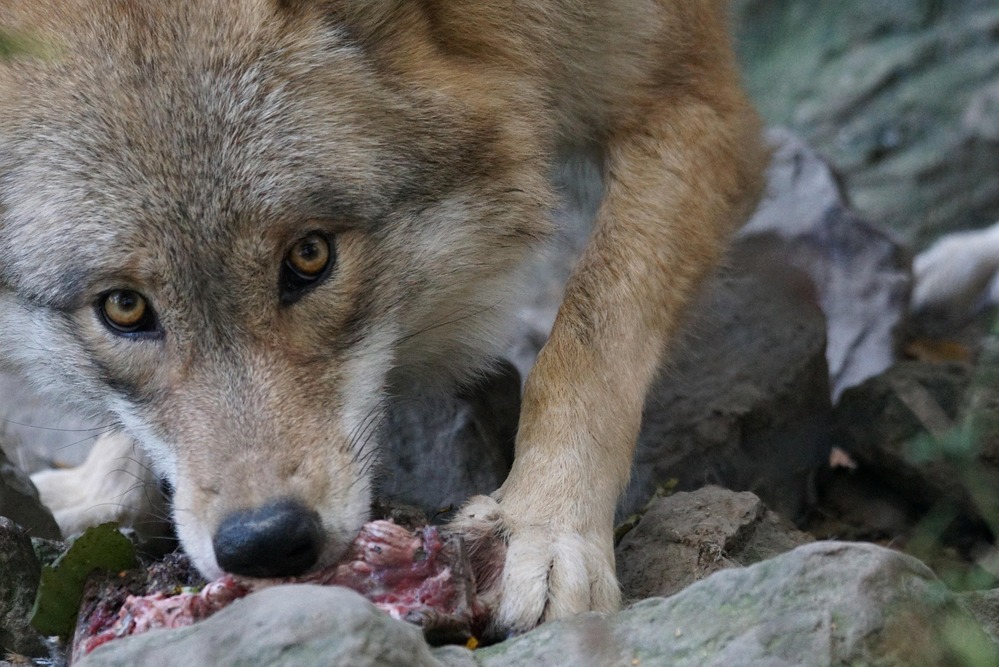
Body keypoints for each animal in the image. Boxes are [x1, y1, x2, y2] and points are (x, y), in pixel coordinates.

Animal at [0, 0, 764, 634]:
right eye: (123, 306)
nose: (267, 540)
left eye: (309, 255)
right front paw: (96, 488)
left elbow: (589, 336)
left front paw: (543, 527)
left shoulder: (689, 94)